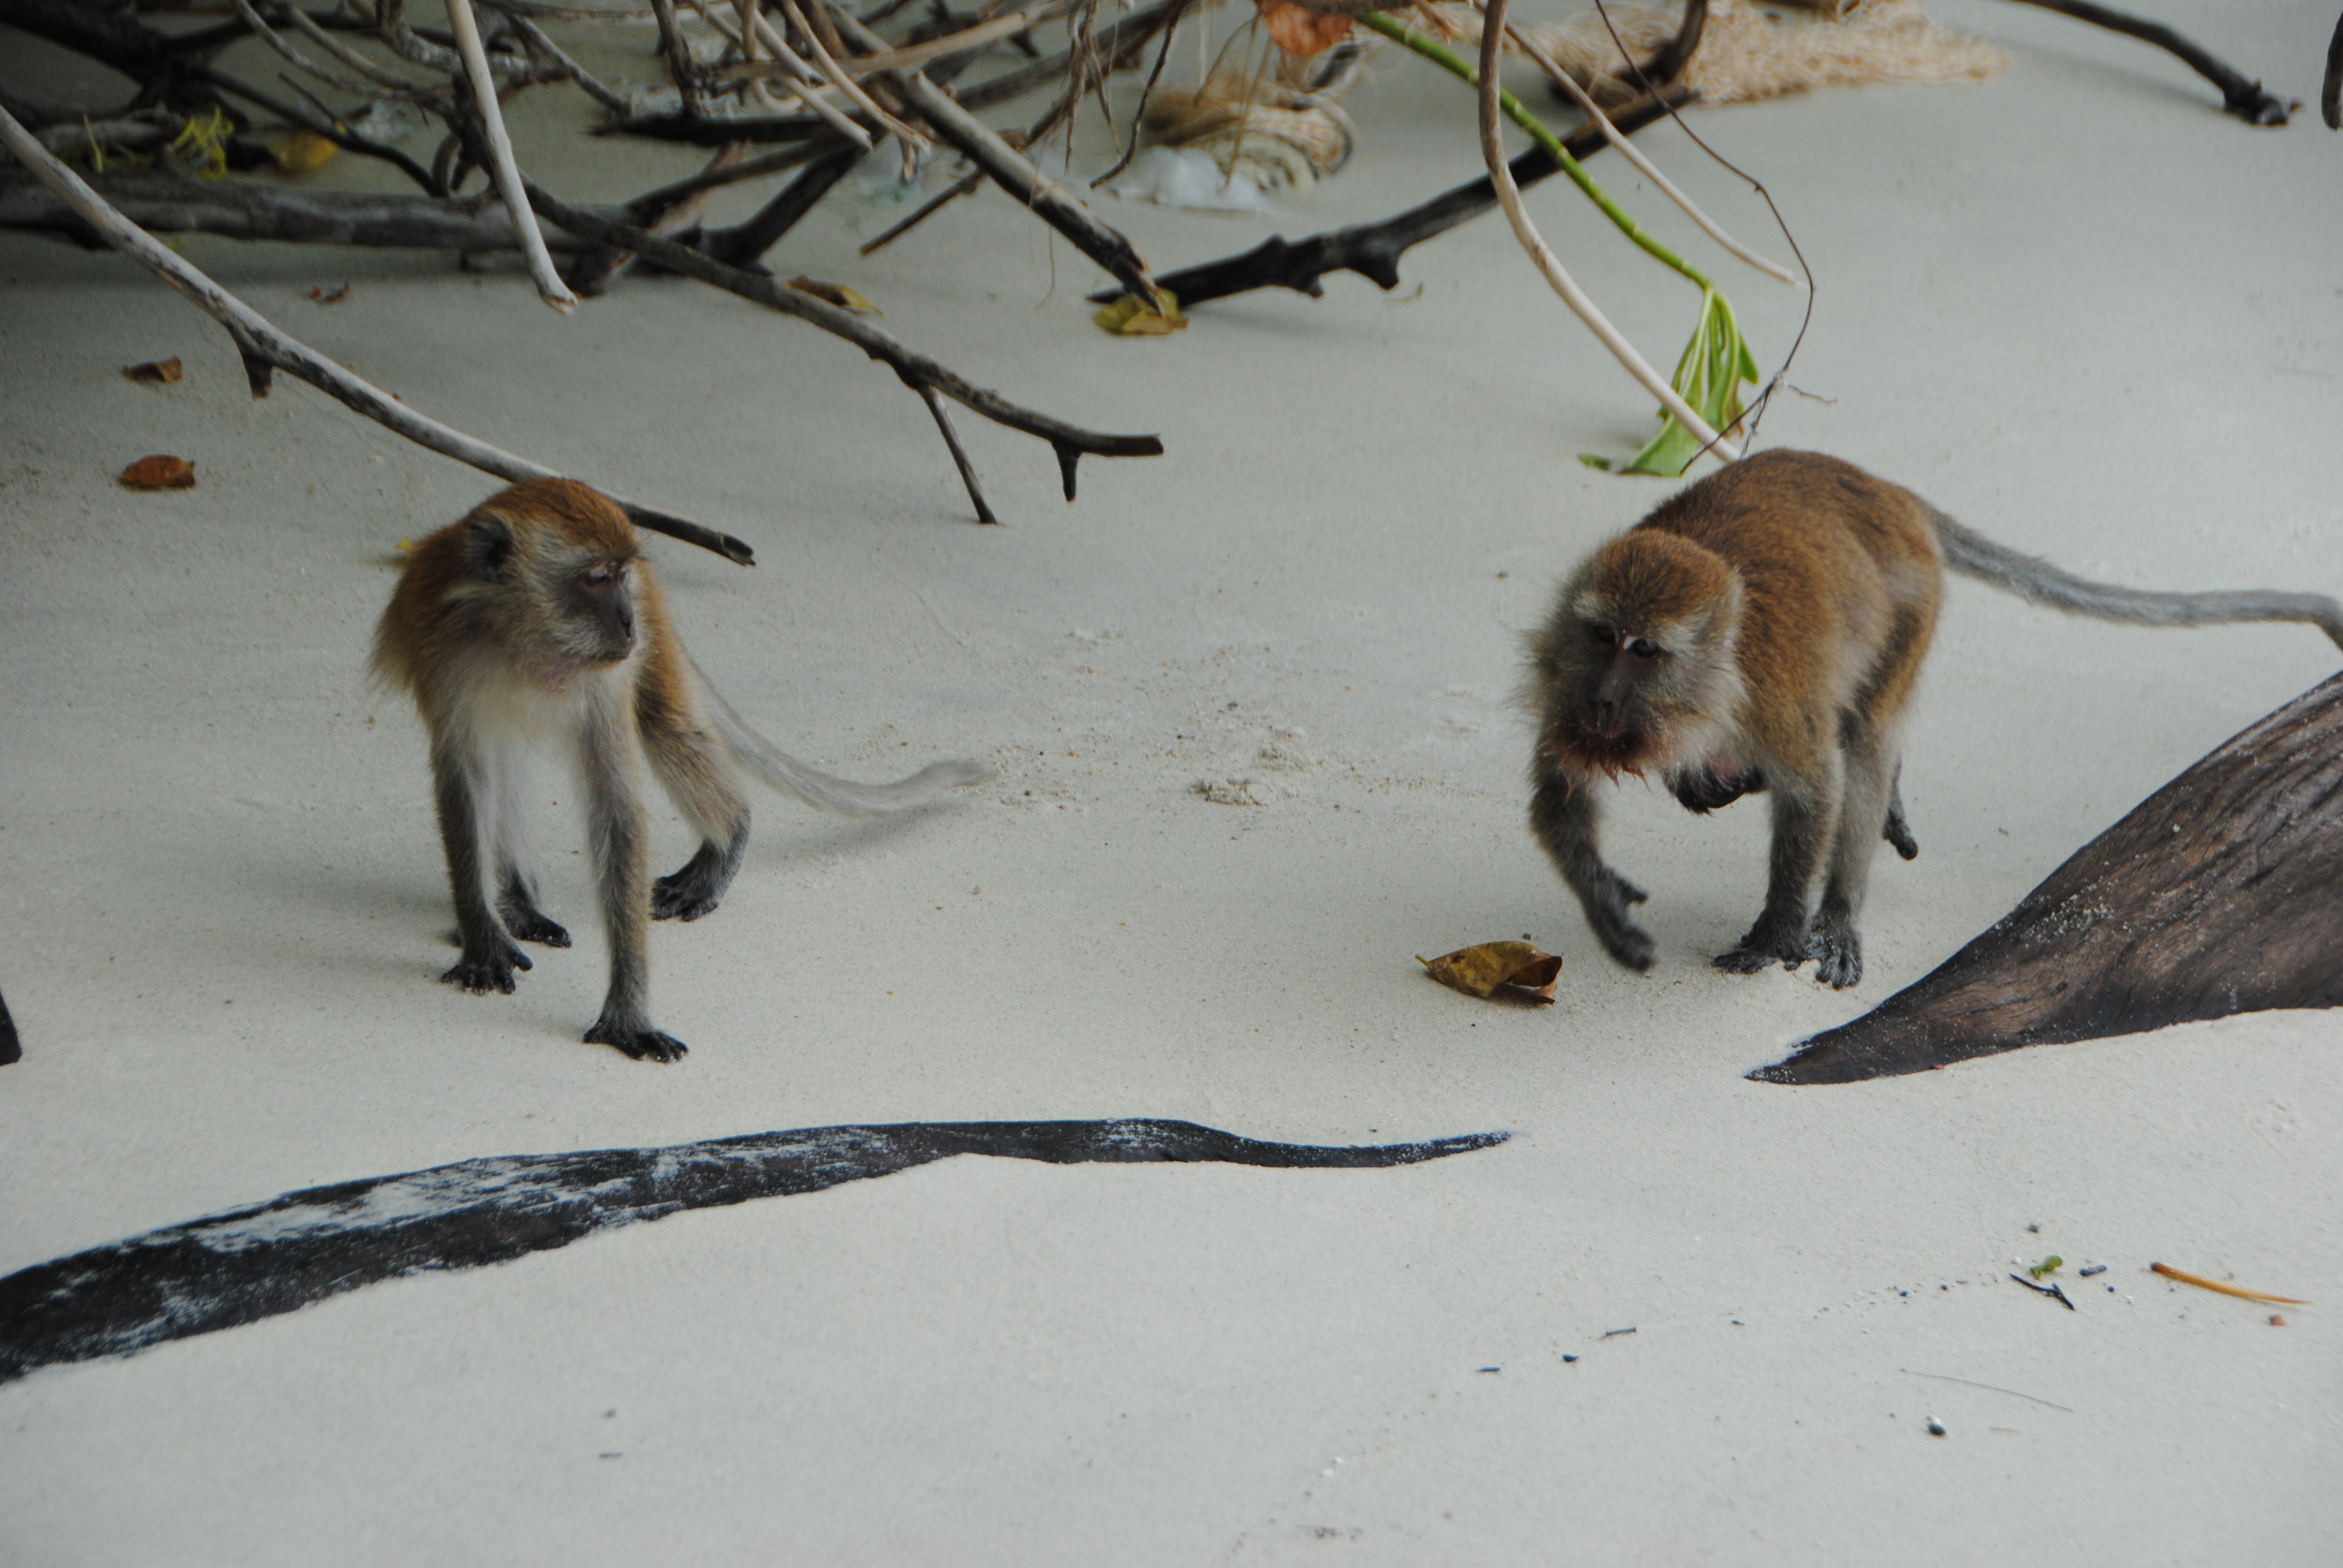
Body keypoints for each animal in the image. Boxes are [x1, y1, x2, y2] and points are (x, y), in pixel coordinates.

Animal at [372, 479, 987, 1062]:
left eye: (617, 576)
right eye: (595, 578)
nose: (627, 621)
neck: (524, 642)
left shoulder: (605, 676)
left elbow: (617, 810)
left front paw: (627, 1014)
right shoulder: (448, 655)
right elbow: (464, 781)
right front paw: (481, 938)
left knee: (658, 721)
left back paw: (728, 837)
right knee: (503, 758)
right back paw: (517, 905)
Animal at [1525, 448, 2343, 989]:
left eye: (1644, 651)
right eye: (1600, 637)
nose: (1602, 701)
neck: (1704, 689)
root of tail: (1886, 492)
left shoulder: (1771, 697)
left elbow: (1814, 791)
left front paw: (1783, 927)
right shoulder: (1558, 679)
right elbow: (1556, 794)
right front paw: (1601, 901)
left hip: (1911, 605)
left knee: (1862, 743)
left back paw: (1839, 909)